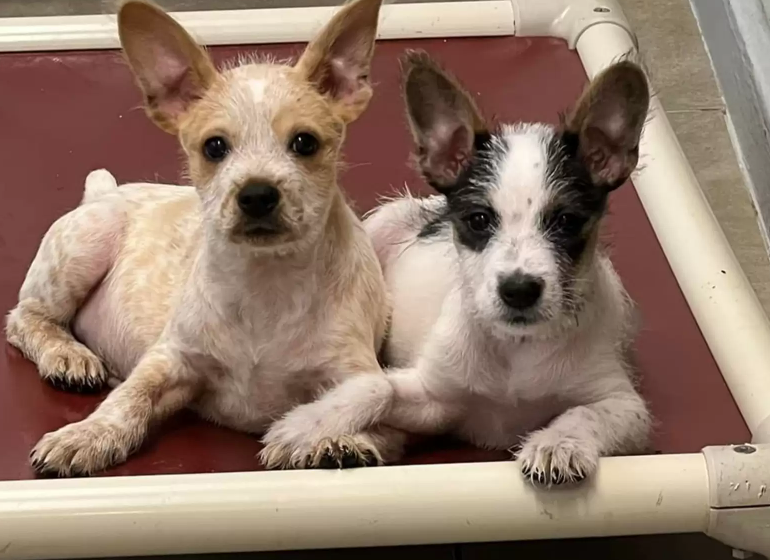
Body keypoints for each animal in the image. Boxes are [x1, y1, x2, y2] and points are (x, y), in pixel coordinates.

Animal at [5, 0, 400, 476]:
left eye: (304, 143)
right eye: (215, 147)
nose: (257, 194)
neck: (265, 283)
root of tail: (103, 191)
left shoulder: (357, 374)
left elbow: (371, 410)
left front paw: (330, 439)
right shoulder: (170, 359)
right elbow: (128, 399)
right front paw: (88, 434)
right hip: (84, 245)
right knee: (26, 318)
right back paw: (68, 355)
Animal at [261, 51, 652, 486]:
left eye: (566, 221)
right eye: (478, 220)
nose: (518, 290)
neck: (515, 349)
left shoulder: (626, 406)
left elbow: (584, 413)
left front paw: (558, 443)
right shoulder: (434, 397)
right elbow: (376, 386)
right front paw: (305, 425)